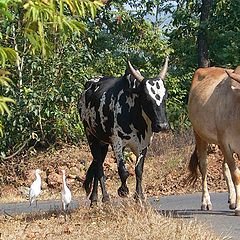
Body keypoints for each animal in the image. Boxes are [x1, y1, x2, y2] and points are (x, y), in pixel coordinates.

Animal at [79, 58, 169, 206]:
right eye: (146, 97)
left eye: (165, 97)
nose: (162, 125)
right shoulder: (117, 142)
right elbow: (123, 171)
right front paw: (123, 190)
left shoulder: (144, 144)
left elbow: (138, 170)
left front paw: (139, 196)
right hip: (91, 136)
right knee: (99, 167)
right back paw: (105, 198)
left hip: (103, 143)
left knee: (97, 166)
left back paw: (94, 199)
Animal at [188, 65, 240, 216]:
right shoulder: (225, 143)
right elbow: (236, 175)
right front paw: (239, 208)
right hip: (199, 135)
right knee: (203, 166)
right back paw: (205, 202)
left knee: (224, 167)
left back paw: (232, 200)